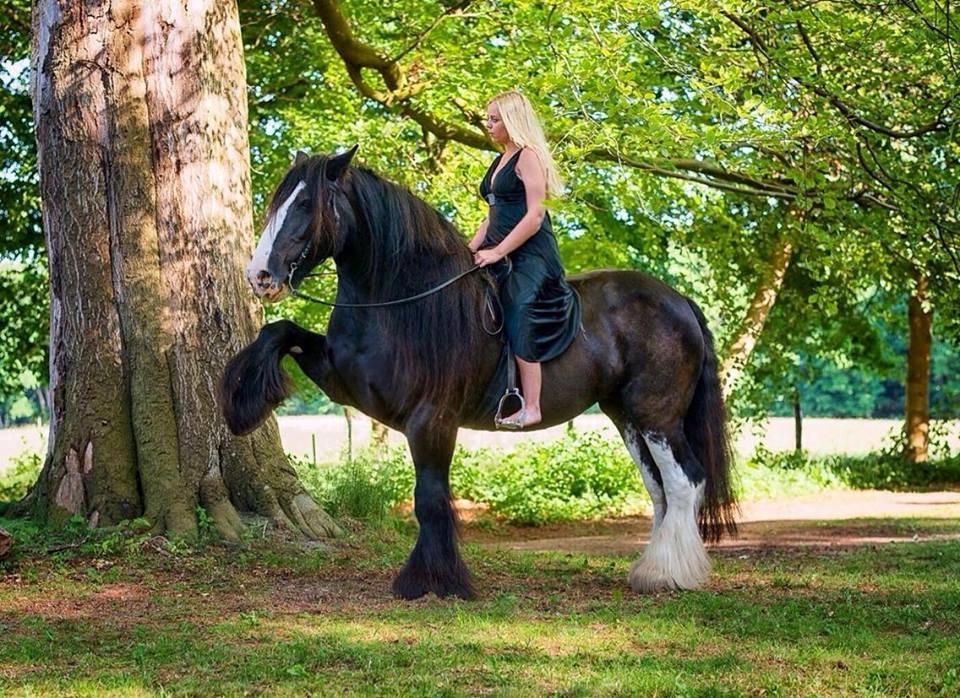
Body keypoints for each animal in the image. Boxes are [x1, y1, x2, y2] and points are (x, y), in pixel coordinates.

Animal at [221, 147, 740, 600]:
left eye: (306, 204)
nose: (259, 276)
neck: (402, 301)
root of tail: (678, 300)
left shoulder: (431, 419)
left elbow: (429, 498)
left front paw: (435, 581)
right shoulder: (346, 383)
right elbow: (279, 332)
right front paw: (242, 401)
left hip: (657, 415)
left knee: (685, 482)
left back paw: (669, 574)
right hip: (626, 416)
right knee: (659, 490)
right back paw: (652, 569)